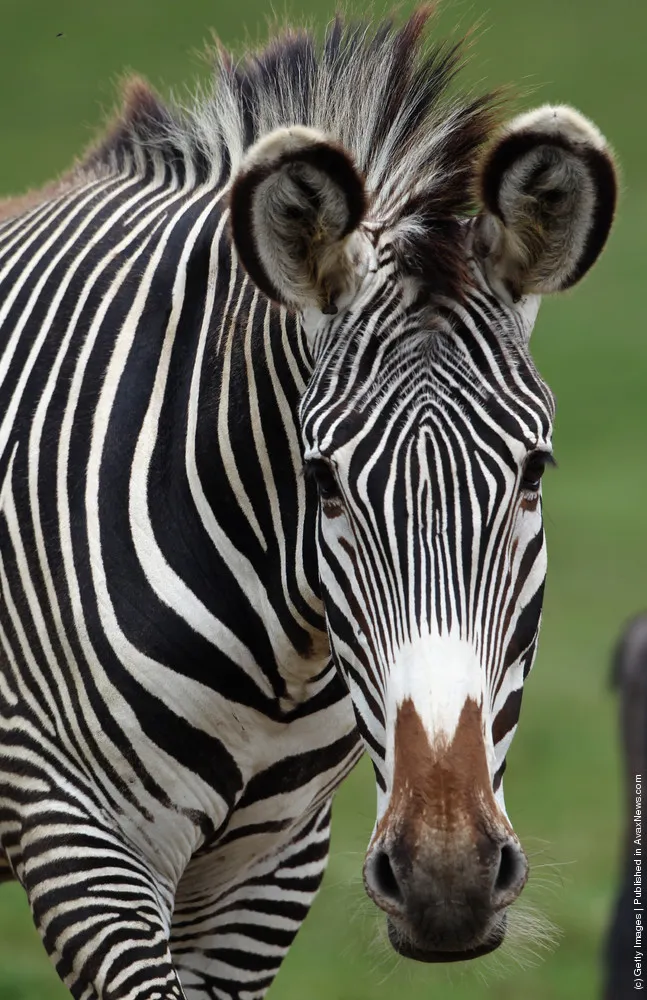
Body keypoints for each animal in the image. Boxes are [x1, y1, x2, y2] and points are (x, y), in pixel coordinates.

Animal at [0, 9, 616, 1000]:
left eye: (532, 474)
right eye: (321, 480)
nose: (447, 882)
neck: (281, 664)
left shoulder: (268, 869)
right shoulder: (75, 833)